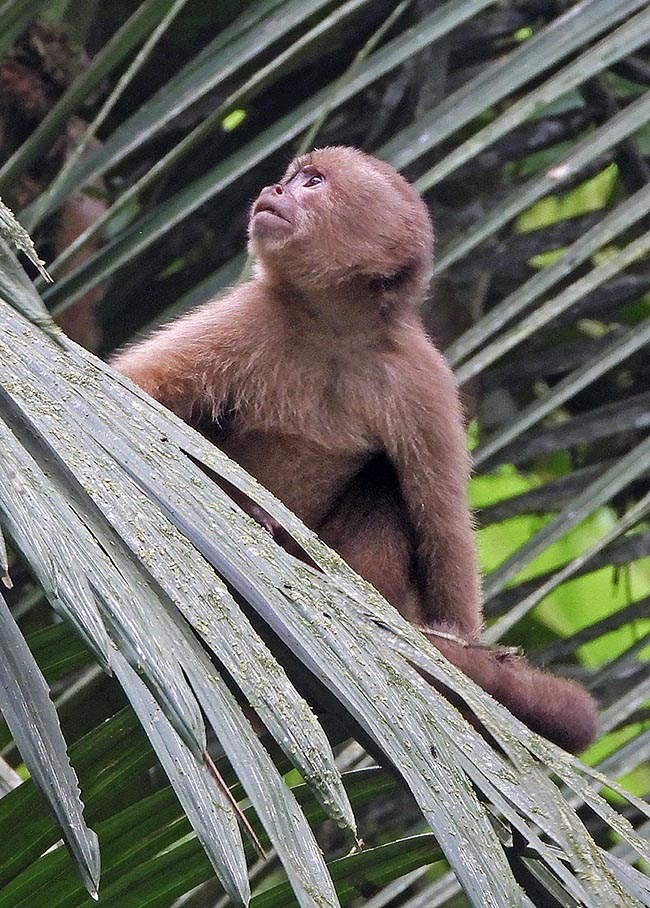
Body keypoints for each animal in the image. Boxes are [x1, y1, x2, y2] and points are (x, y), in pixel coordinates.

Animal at [110, 144, 592, 752]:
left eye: (313, 183)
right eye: (293, 179)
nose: (274, 189)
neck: (332, 331)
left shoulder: (421, 380)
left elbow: (443, 529)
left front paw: (462, 654)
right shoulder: (251, 315)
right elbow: (132, 392)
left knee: (386, 484)